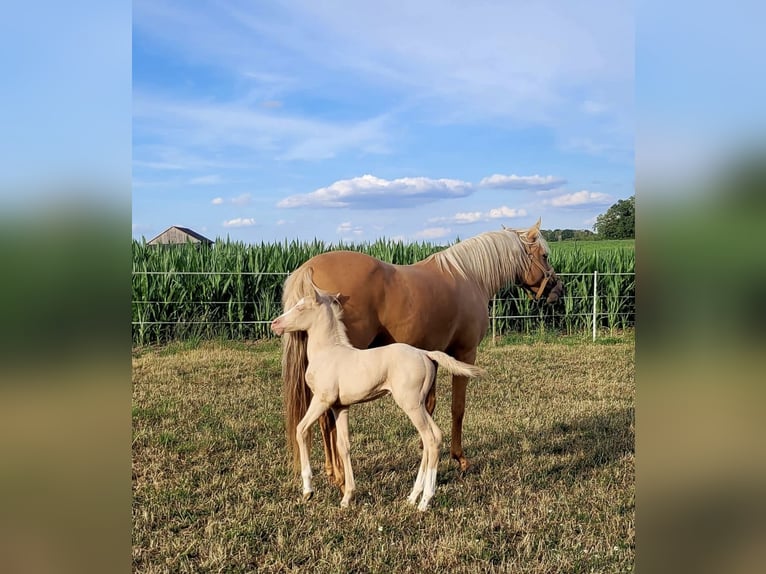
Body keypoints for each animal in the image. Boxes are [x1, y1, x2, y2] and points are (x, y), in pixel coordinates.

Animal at [271, 284, 484, 511]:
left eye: (301, 307)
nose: (275, 324)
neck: (327, 353)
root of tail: (425, 354)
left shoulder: (322, 400)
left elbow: (301, 430)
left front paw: (308, 491)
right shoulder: (340, 407)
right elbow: (343, 446)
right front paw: (347, 496)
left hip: (411, 405)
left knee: (431, 438)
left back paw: (425, 501)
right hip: (420, 404)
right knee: (431, 439)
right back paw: (412, 496)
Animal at [281, 218, 563, 489]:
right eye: (544, 255)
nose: (557, 291)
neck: (470, 276)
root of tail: (309, 267)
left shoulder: (433, 356)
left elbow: (430, 404)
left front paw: (424, 449)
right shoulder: (465, 353)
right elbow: (458, 407)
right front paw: (460, 458)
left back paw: (331, 471)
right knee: (327, 418)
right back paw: (339, 475)